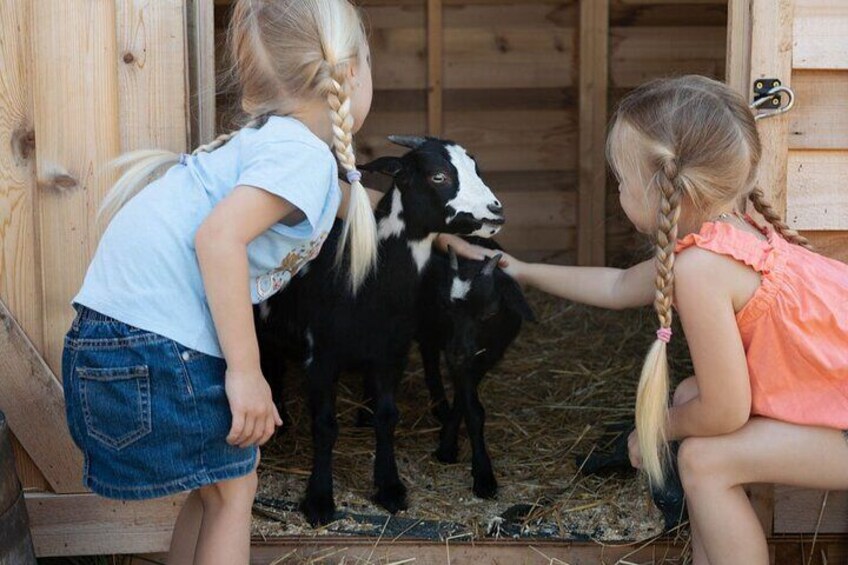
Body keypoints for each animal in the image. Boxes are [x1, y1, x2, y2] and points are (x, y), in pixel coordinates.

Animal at [255, 135, 506, 524]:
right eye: (437, 176)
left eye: (475, 168)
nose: (495, 211)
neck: (371, 280)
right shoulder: (321, 357)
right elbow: (325, 426)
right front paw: (319, 501)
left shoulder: (392, 353)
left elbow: (388, 417)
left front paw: (390, 488)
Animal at [416, 239, 532, 498]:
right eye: (445, 306)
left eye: (489, 312)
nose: (458, 351)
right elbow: (473, 411)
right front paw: (482, 476)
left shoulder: (487, 356)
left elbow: (466, 403)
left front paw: (447, 438)